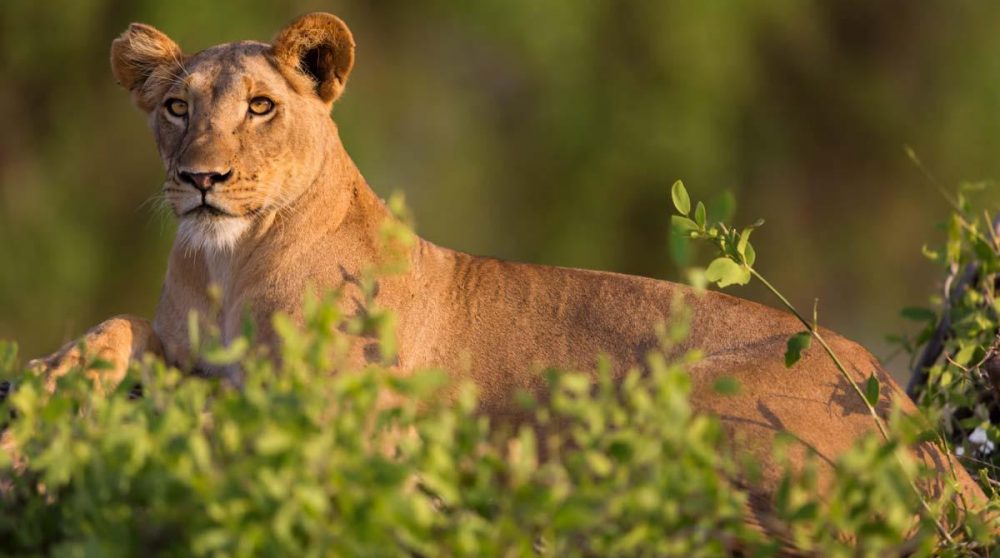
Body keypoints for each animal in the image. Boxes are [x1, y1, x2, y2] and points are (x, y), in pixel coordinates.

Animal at [25, 12, 988, 545]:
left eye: (261, 107)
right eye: (175, 107)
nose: (202, 179)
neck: (225, 261)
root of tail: (927, 438)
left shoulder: (341, 421)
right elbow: (125, 332)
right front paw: (59, 369)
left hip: (695, 393)